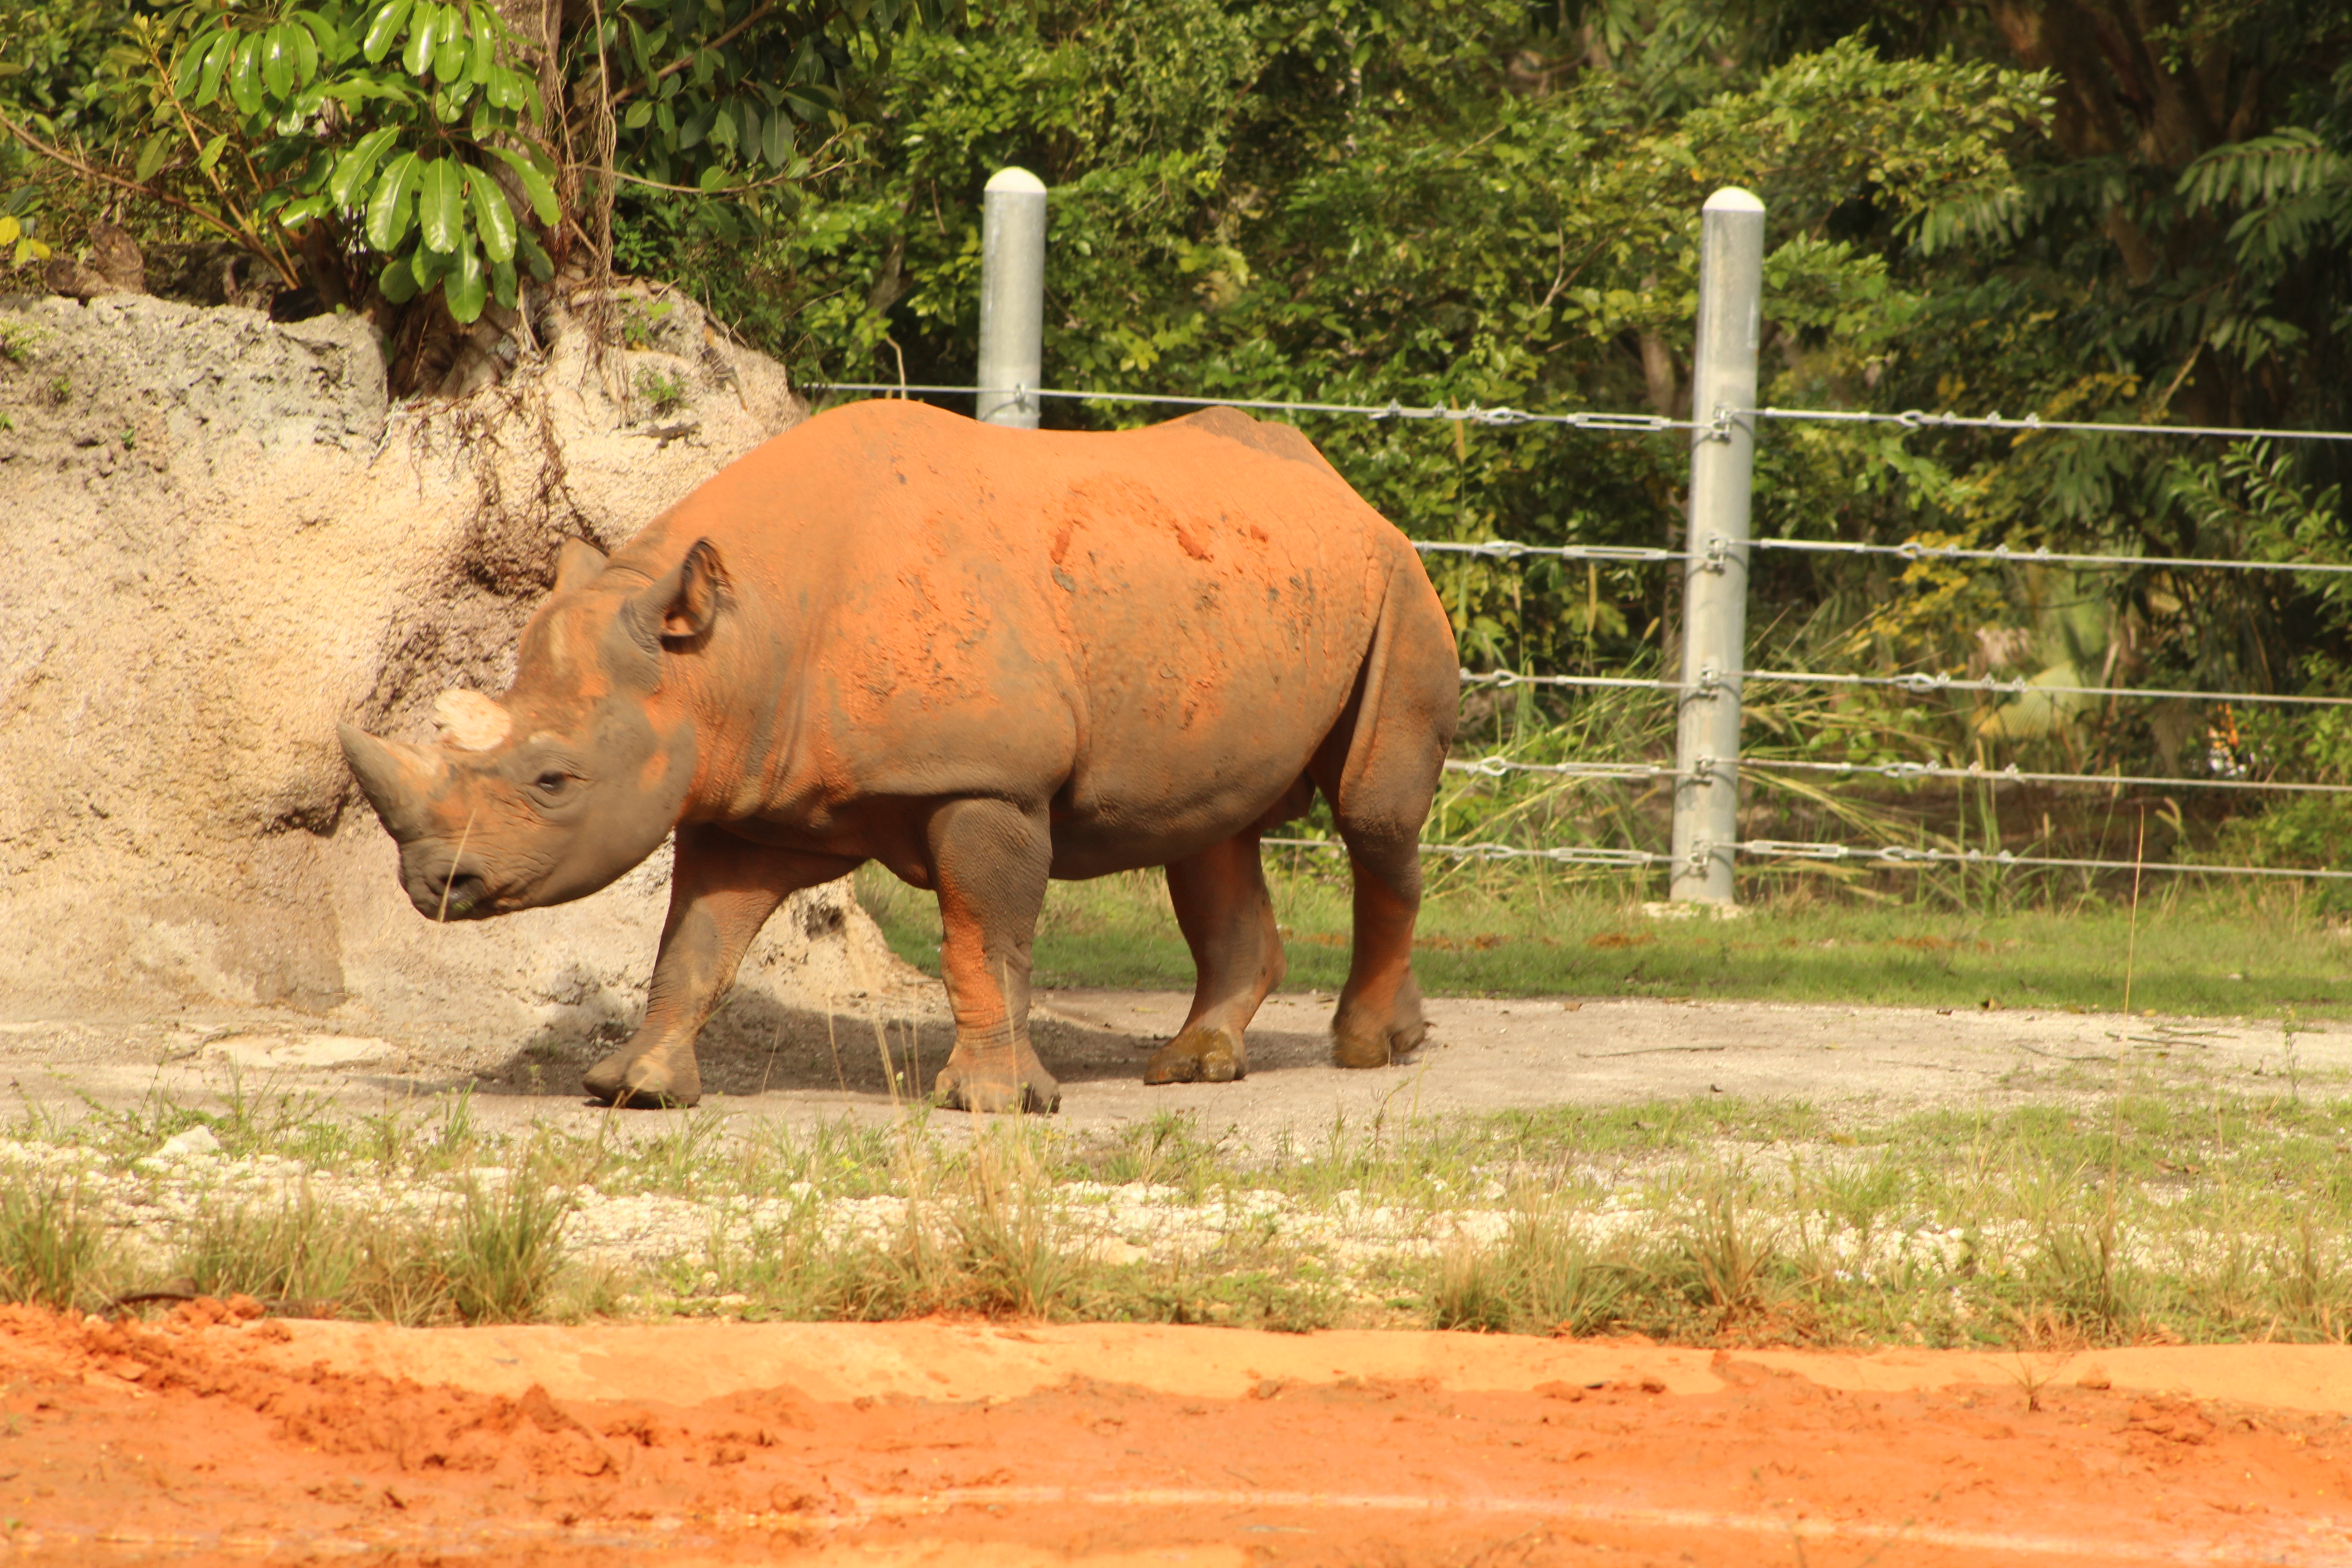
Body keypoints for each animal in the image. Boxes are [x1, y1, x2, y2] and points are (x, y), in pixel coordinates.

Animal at [339, 400, 1458, 1111]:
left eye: (553, 781)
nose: (434, 883)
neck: (725, 655)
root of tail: (1345, 487)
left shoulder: (988, 780)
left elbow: (983, 939)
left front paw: (996, 1105)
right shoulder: (740, 787)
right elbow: (694, 945)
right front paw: (637, 1091)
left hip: (1398, 581)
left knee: (1372, 815)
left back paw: (1372, 1050)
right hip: (1236, 588)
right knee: (1207, 829)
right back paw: (1194, 1067)